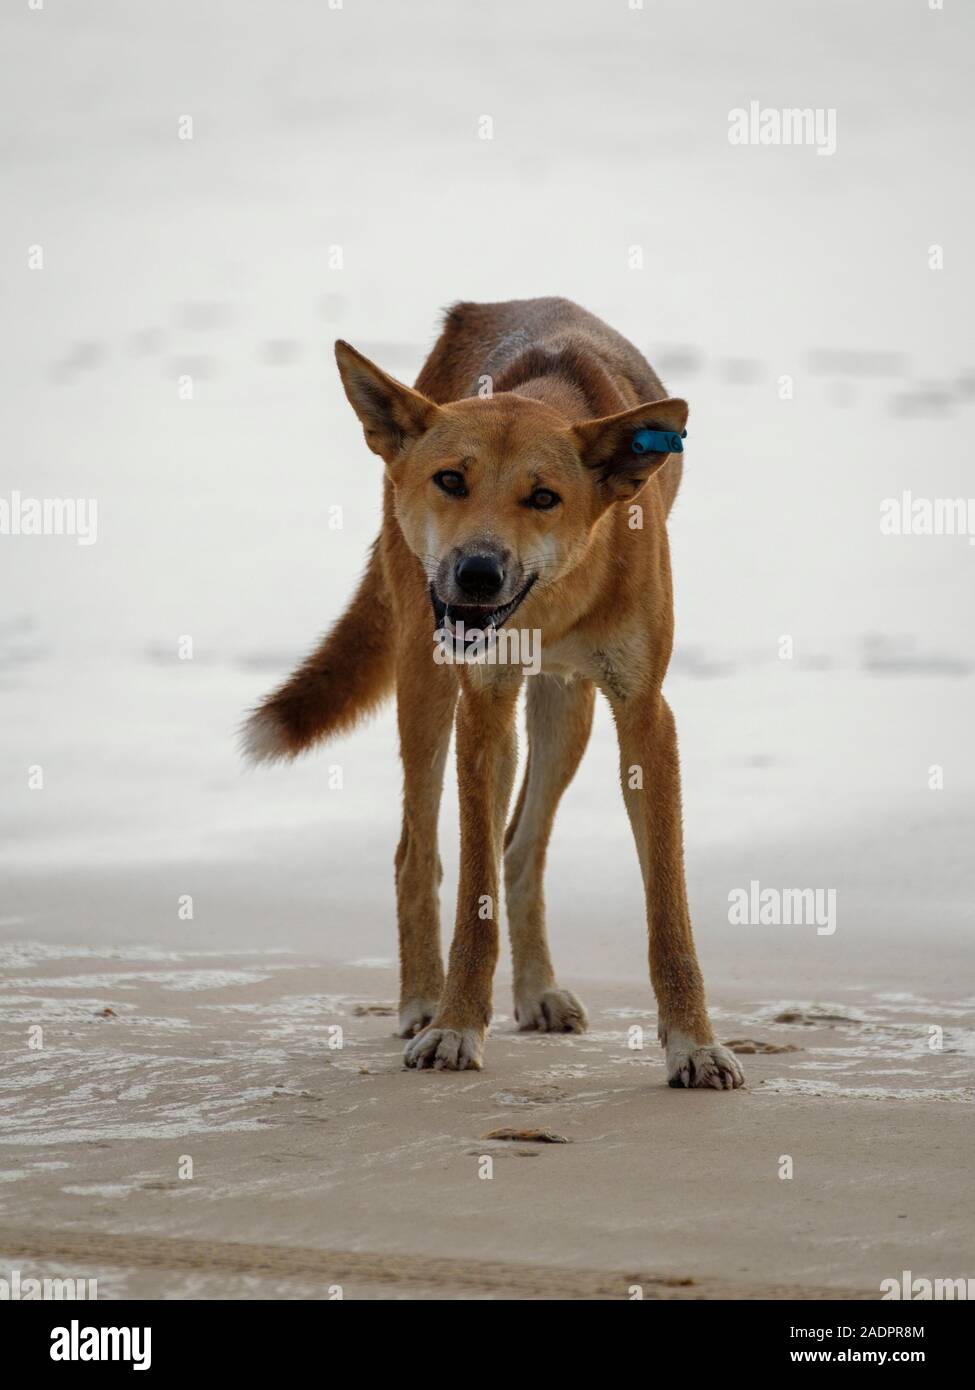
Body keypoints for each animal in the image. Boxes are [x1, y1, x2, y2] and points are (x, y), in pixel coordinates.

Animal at [244, 298, 745, 1089]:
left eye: (544, 498)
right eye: (451, 480)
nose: (477, 573)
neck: (552, 598)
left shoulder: (644, 715)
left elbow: (666, 904)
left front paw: (693, 1043)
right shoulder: (481, 707)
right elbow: (471, 892)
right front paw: (454, 1027)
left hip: (564, 711)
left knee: (522, 846)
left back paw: (536, 991)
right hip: (427, 685)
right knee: (416, 852)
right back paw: (422, 999)